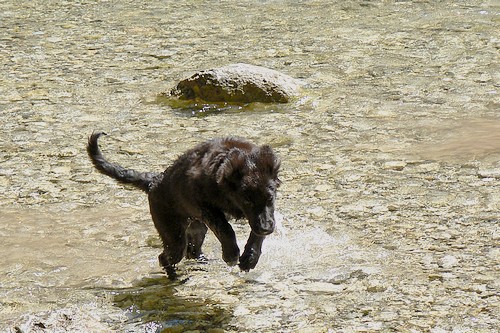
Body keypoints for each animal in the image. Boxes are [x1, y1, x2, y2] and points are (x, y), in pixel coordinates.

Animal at [86, 132, 282, 278]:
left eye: (270, 198)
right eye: (247, 200)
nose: (266, 228)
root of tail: (153, 181)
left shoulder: (263, 215)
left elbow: (256, 235)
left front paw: (250, 259)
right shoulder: (204, 205)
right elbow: (226, 228)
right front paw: (231, 255)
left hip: (197, 228)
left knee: (191, 251)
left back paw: (203, 262)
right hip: (173, 234)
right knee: (165, 257)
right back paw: (175, 278)